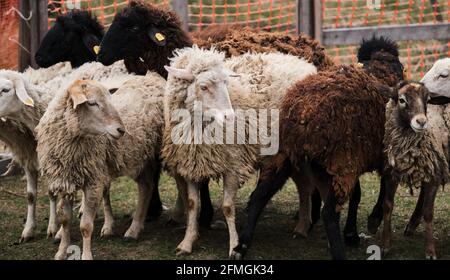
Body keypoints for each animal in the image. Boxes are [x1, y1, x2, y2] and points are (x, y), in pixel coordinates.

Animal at [35, 75, 165, 260]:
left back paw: (133, 230)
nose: (121, 130)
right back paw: (136, 227)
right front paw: (61, 251)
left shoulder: (93, 181)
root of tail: (152, 77)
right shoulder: (67, 180)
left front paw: (86, 255)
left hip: (148, 155)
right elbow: (65, 220)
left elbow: (86, 226)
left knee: (146, 187)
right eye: (91, 103)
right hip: (142, 156)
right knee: (146, 186)